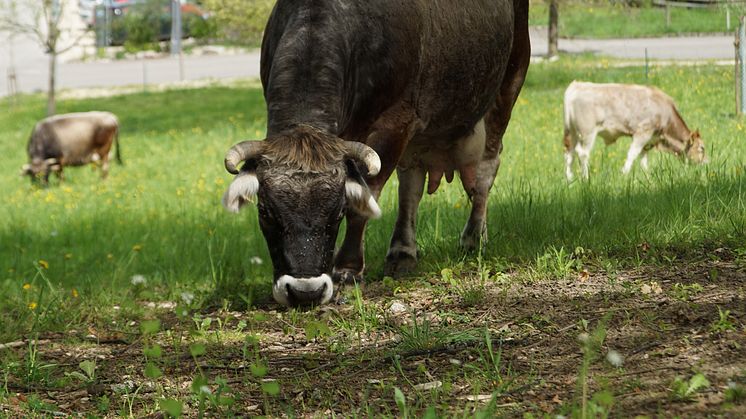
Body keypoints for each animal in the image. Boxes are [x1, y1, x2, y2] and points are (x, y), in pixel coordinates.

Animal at [221, 0, 528, 306]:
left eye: (338, 211)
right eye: (264, 212)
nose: (304, 292)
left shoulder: (394, 124)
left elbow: (363, 202)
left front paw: (347, 270)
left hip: (510, 80)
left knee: (485, 172)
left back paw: (474, 237)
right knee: (411, 186)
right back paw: (403, 252)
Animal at [560, 81, 708, 181]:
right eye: (701, 148)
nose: (707, 162)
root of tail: (577, 85)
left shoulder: (649, 140)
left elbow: (643, 159)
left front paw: (648, 177)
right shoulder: (642, 133)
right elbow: (632, 154)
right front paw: (624, 174)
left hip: (572, 131)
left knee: (569, 152)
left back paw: (569, 178)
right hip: (587, 132)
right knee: (582, 152)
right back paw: (586, 178)